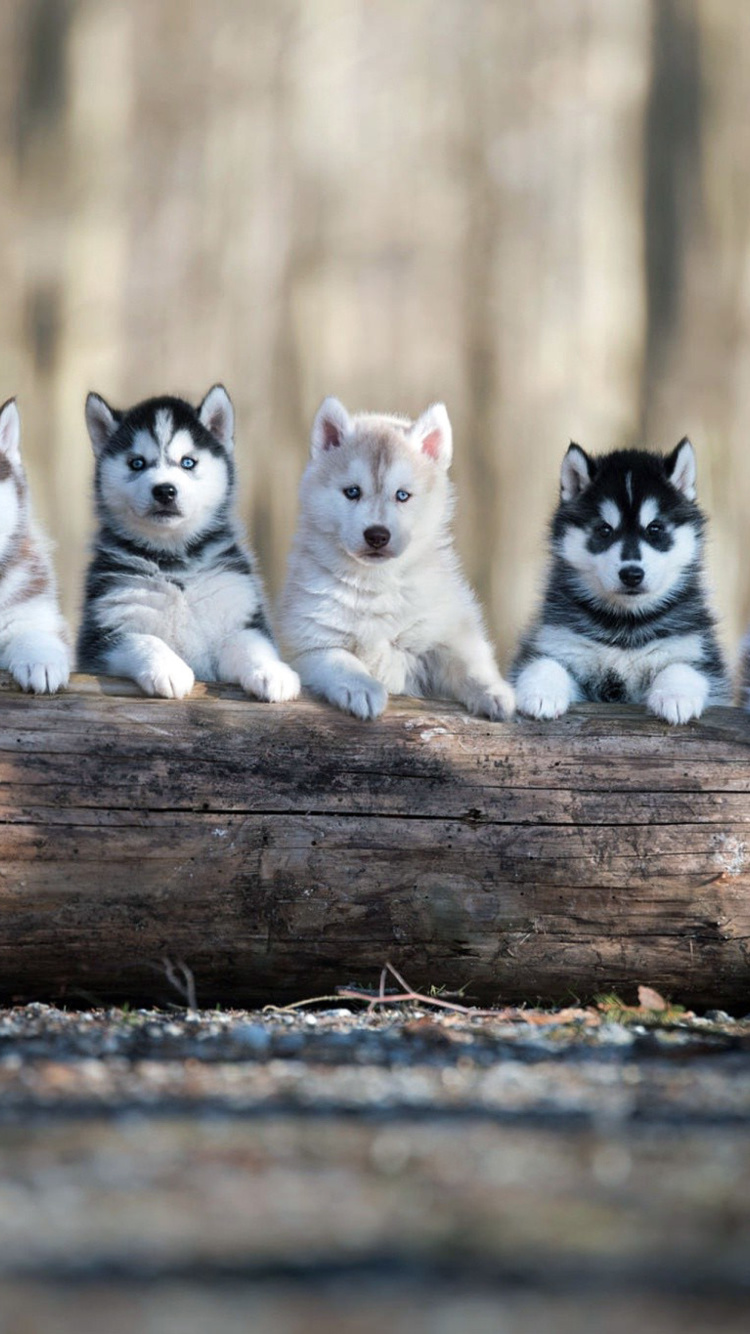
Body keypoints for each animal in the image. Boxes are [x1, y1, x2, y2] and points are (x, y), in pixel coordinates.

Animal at [76, 384, 297, 704]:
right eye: (137, 463)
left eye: (188, 462)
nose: (164, 491)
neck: (174, 563)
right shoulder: (103, 634)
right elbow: (143, 639)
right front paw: (168, 668)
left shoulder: (239, 614)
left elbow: (250, 644)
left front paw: (272, 672)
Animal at [277, 394, 517, 725]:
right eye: (352, 492)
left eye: (402, 495)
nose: (377, 535)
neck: (375, 582)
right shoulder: (310, 644)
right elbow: (342, 660)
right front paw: (363, 687)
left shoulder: (447, 630)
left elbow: (468, 664)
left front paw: (494, 691)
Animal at [509, 440, 725, 725]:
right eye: (604, 530)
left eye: (655, 529)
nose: (631, 574)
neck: (625, 624)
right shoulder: (561, 642)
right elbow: (544, 662)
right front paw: (540, 692)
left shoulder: (697, 651)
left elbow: (683, 666)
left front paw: (676, 696)